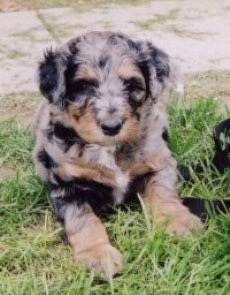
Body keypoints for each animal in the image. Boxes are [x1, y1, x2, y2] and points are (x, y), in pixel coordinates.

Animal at [32, 31, 203, 278]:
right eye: (83, 85)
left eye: (131, 84)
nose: (111, 126)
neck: (109, 149)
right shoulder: (66, 187)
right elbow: (83, 219)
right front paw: (98, 255)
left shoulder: (159, 163)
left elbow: (163, 193)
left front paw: (180, 222)